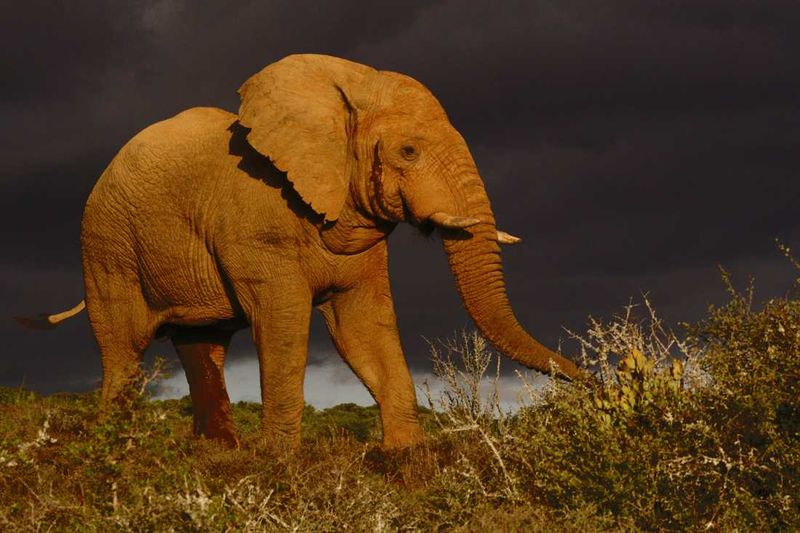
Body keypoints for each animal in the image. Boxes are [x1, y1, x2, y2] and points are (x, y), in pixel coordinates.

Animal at [20, 54, 581, 449]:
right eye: (408, 151)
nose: (590, 378)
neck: (344, 93)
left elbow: (363, 327)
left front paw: (406, 462)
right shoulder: (254, 226)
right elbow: (284, 324)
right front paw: (278, 464)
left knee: (203, 345)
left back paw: (215, 455)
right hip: (105, 243)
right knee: (123, 349)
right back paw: (114, 452)